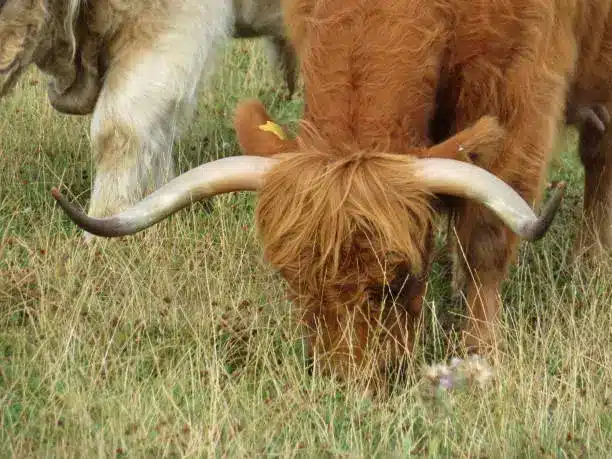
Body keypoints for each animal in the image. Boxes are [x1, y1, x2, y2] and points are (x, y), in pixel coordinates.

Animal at [52, 0, 612, 380]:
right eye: (292, 280)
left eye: (400, 278)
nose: (352, 382)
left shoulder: (518, 92)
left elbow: (487, 239)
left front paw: (478, 356)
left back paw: (590, 263)